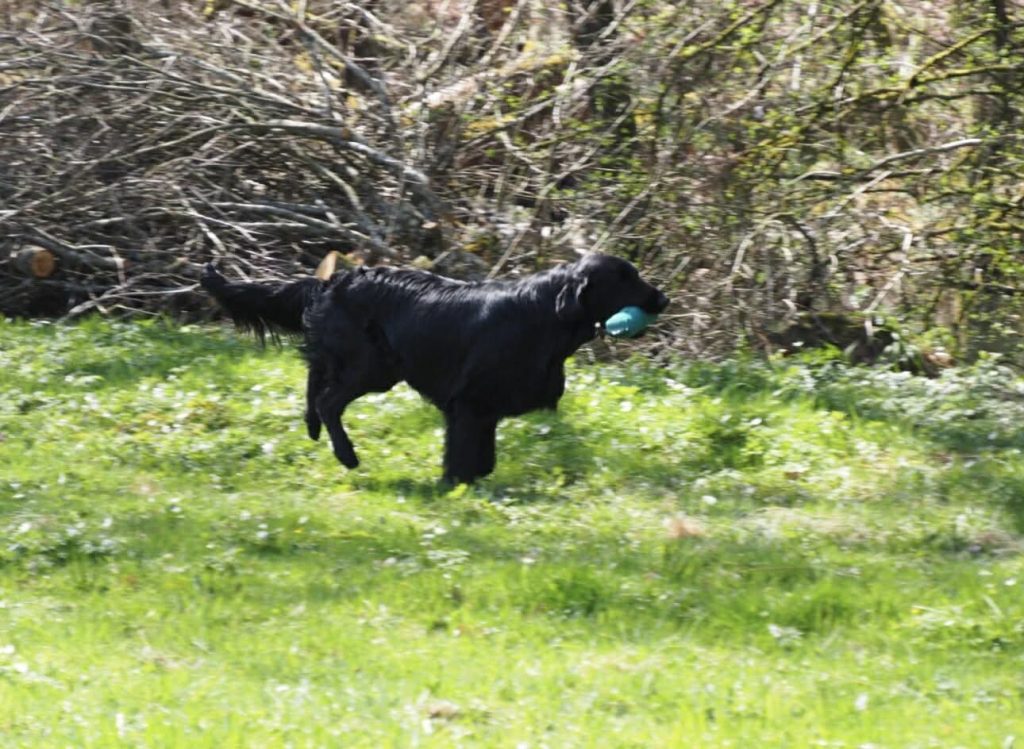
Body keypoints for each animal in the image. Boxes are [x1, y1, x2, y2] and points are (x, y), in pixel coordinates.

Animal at [202, 253, 668, 483]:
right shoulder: (468, 404)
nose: (663, 299)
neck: (544, 317)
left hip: (366, 364)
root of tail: (331, 282)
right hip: (373, 367)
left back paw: (313, 427)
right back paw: (347, 455)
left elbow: (484, 457)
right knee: (329, 399)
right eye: (625, 279)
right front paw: (454, 485)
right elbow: (464, 454)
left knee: (315, 381)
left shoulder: (483, 411)